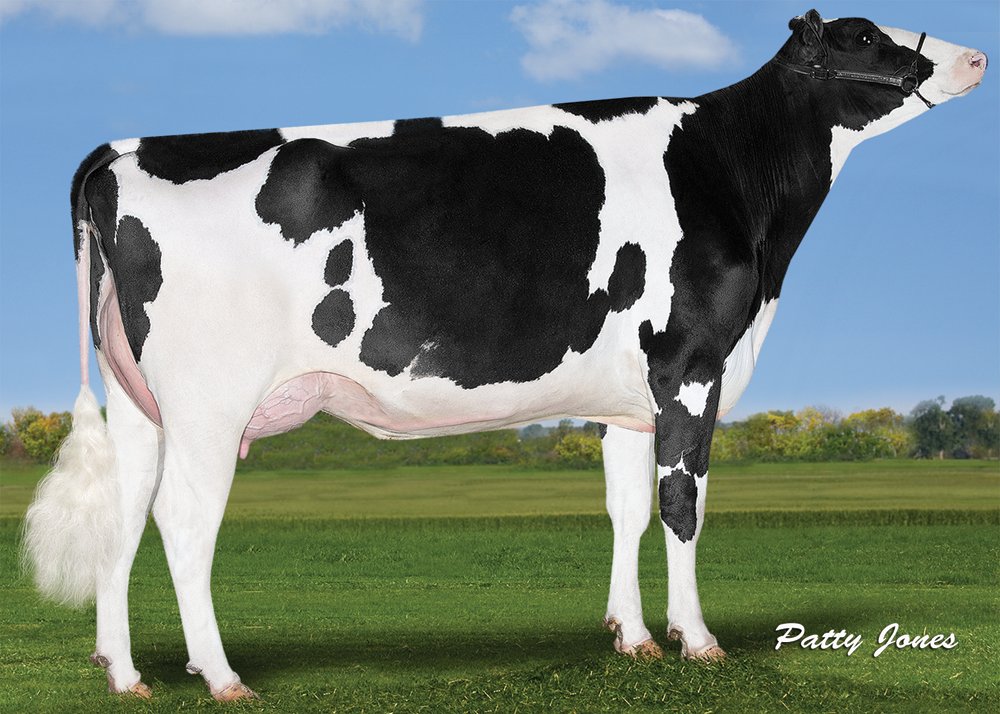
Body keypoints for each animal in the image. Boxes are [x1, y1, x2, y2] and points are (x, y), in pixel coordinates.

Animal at [23, 9, 986, 701]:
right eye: (864, 38)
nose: (976, 57)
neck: (732, 175)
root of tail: (120, 152)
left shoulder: (628, 399)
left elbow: (626, 510)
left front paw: (635, 638)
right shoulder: (690, 364)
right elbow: (682, 507)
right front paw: (700, 642)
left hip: (141, 405)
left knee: (123, 513)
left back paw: (125, 673)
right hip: (210, 404)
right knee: (183, 522)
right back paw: (222, 678)